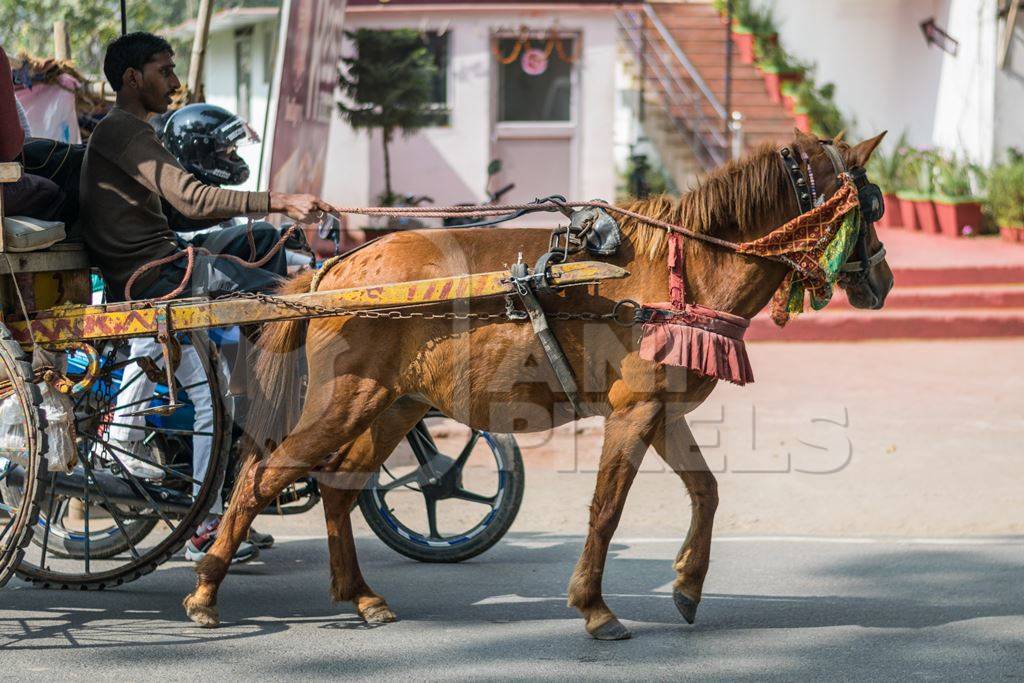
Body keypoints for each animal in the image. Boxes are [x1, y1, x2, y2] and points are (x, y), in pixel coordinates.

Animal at [188, 131, 892, 638]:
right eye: (871, 205)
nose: (881, 281)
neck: (684, 269)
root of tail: (338, 268)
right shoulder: (634, 410)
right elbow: (607, 507)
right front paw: (595, 607)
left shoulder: (662, 410)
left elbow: (706, 492)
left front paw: (688, 585)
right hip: (344, 401)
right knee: (261, 477)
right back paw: (206, 587)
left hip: (394, 405)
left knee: (338, 487)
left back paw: (360, 596)